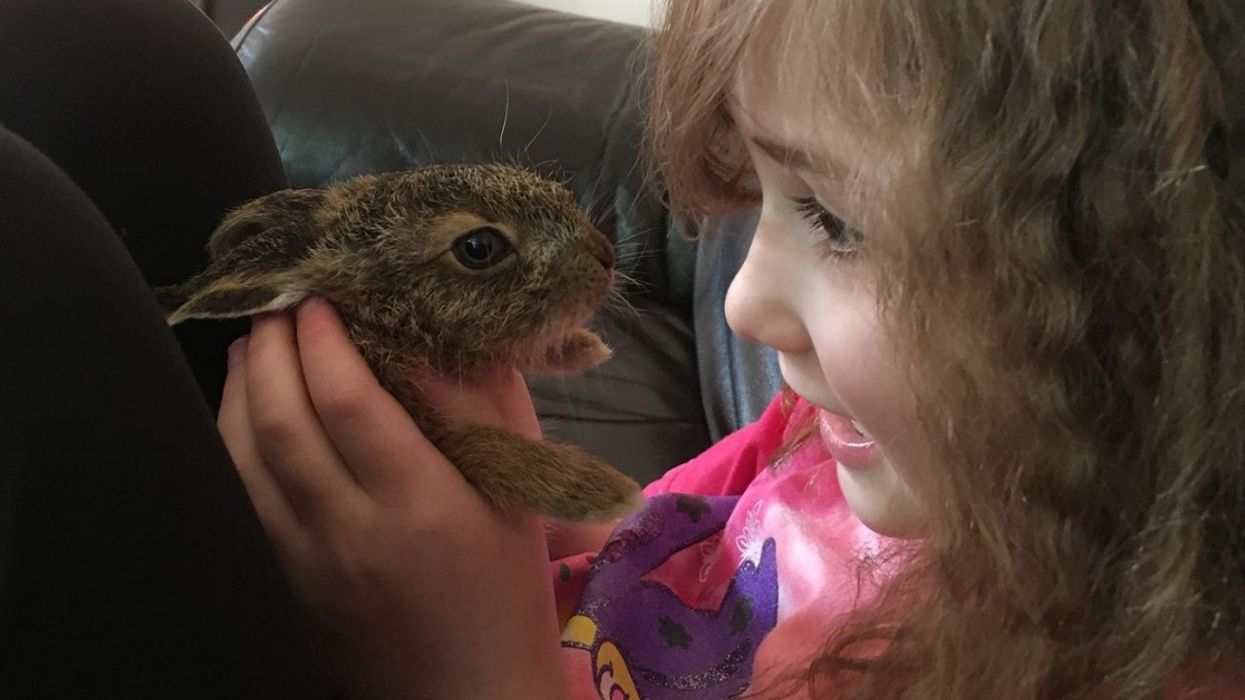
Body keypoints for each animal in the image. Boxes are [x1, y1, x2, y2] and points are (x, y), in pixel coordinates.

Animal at [155, 163, 642, 523]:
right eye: (479, 247)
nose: (605, 255)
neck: (382, 321)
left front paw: (585, 347)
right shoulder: (429, 431)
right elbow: (477, 444)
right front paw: (603, 491)